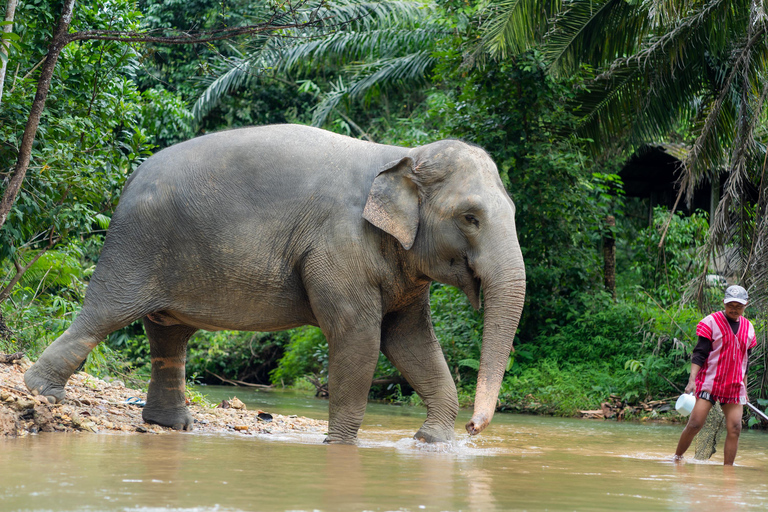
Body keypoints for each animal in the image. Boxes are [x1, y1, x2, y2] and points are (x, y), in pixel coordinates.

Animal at [24, 124, 526, 444]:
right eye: (471, 217)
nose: (474, 429)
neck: (404, 152)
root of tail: (130, 178)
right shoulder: (337, 244)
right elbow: (359, 338)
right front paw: (340, 447)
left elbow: (411, 341)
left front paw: (431, 442)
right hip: (134, 245)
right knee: (105, 314)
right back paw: (40, 392)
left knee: (169, 337)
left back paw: (171, 426)